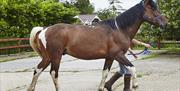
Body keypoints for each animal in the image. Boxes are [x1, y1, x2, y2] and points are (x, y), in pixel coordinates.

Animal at [27, 0, 167, 90]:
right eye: (153, 8)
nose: (165, 23)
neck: (119, 29)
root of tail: (44, 29)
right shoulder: (118, 55)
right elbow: (132, 68)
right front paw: (135, 85)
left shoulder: (110, 57)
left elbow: (105, 73)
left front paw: (102, 87)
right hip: (56, 57)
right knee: (53, 73)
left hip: (48, 57)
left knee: (37, 70)